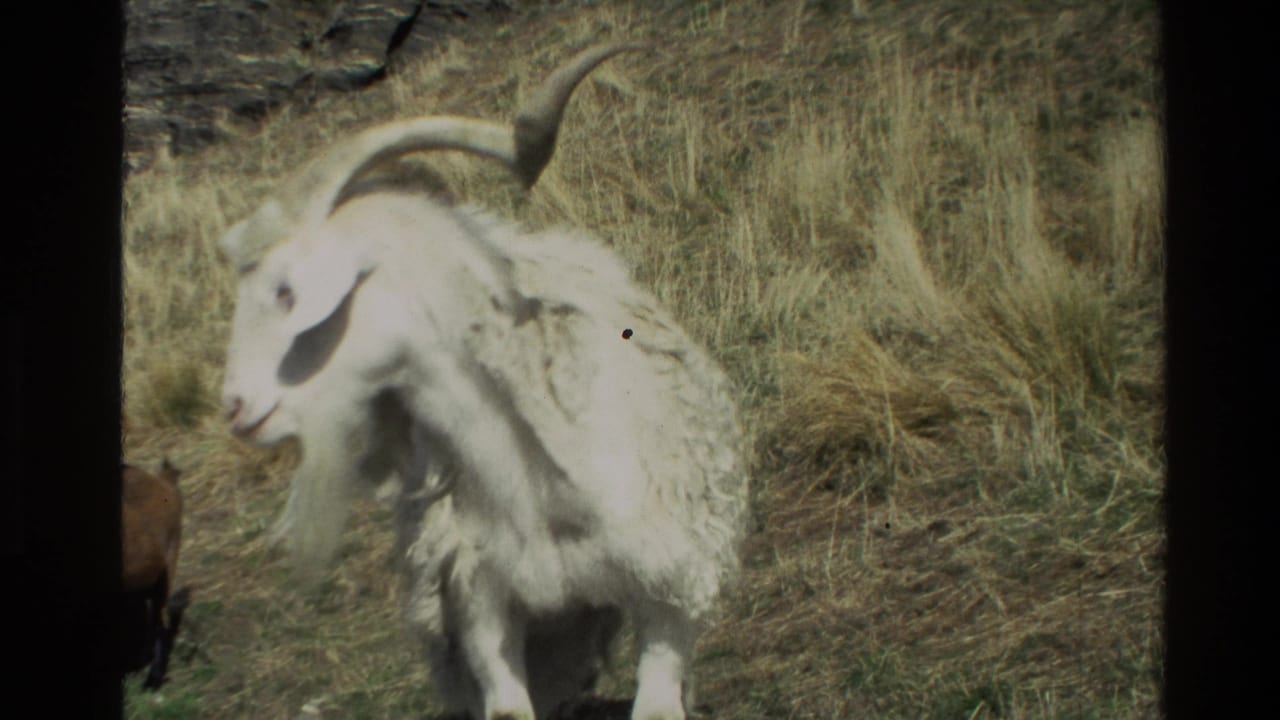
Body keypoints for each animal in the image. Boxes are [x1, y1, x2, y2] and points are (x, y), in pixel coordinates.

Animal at [218, 43, 749, 720]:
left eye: (285, 290)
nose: (236, 408)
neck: (532, 482)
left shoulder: (669, 586)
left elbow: (658, 701)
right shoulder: (478, 602)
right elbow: (506, 705)